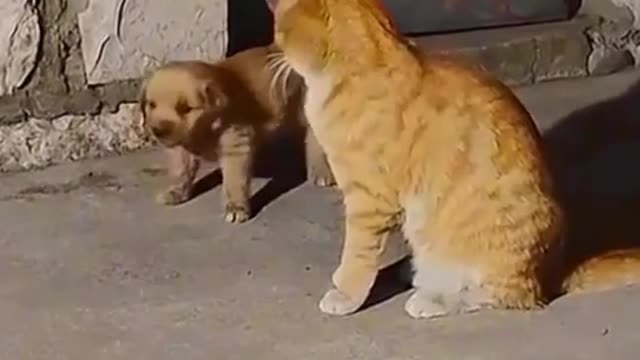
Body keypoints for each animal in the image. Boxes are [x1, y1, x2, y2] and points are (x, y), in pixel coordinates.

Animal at [140, 43, 336, 221]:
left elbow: (234, 181)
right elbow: (180, 170)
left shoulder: (235, 144)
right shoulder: (181, 146)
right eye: (151, 105)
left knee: (315, 142)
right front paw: (176, 191)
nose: (158, 131)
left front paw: (235, 208)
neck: (208, 126)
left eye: (186, 108)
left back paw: (321, 172)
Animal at [268, 0, 640, 320]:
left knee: (509, 295)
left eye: (277, 30)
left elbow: (358, 254)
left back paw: (431, 299)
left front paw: (346, 293)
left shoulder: (369, 201)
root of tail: (554, 274)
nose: (274, 49)